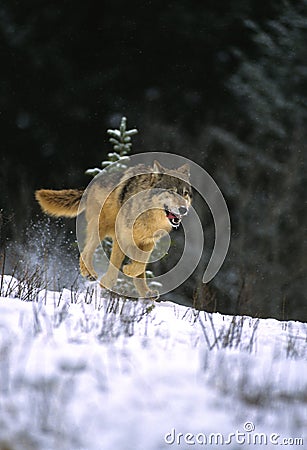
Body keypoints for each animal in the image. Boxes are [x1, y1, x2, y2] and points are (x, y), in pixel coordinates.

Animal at [35, 162, 191, 298]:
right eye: (171, 192)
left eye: (185, 193)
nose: (183, 209)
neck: (147, 215)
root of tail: (90, 186)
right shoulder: (121, 238)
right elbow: (117, 265)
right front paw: (107, 283)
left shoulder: (148, 243)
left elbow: (140, 267)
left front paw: (129, 272)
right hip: (100, 229)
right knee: (85, 251)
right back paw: (89, 273)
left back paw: (147, 294)